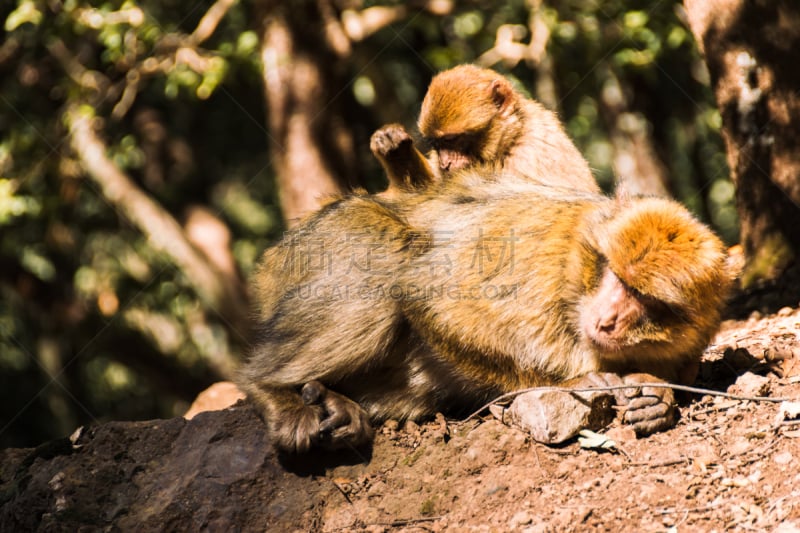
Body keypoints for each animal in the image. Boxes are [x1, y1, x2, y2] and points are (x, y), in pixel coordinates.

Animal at [239, 176, 732, 454]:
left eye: (644, 299)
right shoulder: (534, 255)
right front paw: (574, 381)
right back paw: (269, 385)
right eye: (616, 276)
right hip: (318, 247)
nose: (608, 320)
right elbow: (424, 295)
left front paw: (655, 397)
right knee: (386, 252)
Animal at [370, 64, 600, 193]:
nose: (445, 163)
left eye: (451, 140)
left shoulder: (528, 160)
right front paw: (395, 150)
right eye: (436, 143)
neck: (512, 140)